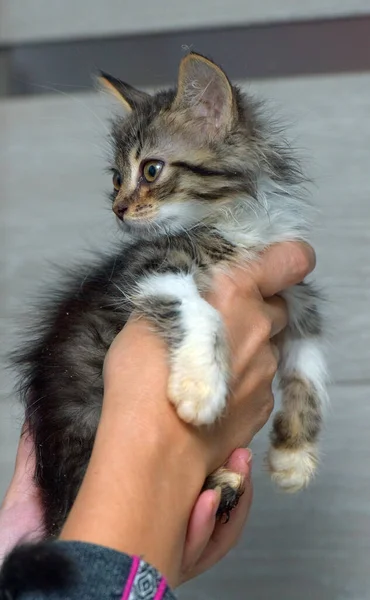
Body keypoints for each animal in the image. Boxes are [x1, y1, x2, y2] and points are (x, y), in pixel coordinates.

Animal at [14, 54, 326, 536]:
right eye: (116, 178)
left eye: (151, 170)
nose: (118, 209)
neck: (230, 221)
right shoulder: (149, 268)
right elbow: (199, 310)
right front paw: (201, 385)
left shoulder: (295, 293)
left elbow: (308, 368)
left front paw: (294, 456)